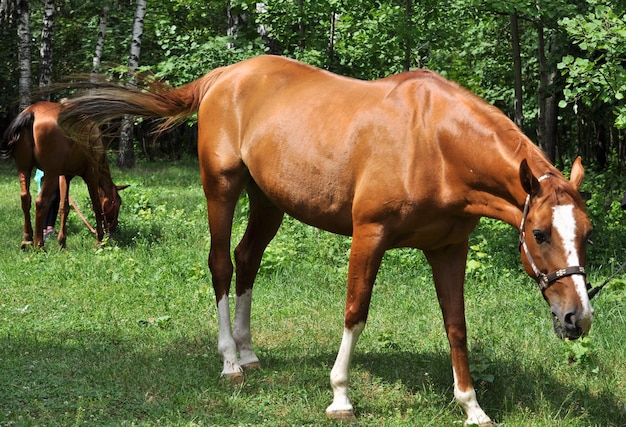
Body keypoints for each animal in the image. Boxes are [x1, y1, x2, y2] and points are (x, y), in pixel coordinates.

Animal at [0, 102, 127, 249]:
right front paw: (99, 240)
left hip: (24, 169)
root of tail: (32, 111)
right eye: (118, 202)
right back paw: (39, 244)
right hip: (50, 174)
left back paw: (28, 239)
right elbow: (96, 205)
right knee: (41, 202)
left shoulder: (64, 177)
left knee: (25, 198)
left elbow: (64, 207)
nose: (114, 228)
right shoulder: (91, 175)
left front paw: (62, 242)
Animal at [58, 55, 588, 426]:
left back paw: (249, 354)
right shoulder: (369, 236)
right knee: (221, 265)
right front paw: (340, 396)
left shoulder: (448, 250)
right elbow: (355, 312)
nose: (576, 318)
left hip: (268, 201)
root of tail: (224, 77)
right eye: (539, 233)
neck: (435, 143)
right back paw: (230, 361)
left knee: (247, 259)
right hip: (221, 190)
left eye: (586, 232)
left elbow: (456, 326)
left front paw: (471, 406)